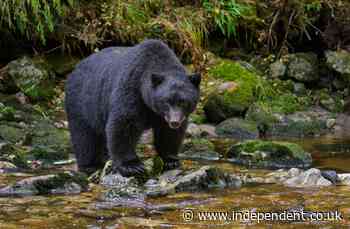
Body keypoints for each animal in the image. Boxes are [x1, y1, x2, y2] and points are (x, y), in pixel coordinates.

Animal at [64, 39, 201, 176]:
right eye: (166, 101)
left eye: (183, 102)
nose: (174, 121)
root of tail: (75, 69)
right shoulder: (132, 88)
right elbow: (124, 123)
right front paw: (131, 165)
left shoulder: (163, 115)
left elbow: (168, 133)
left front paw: (170, 160)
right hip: (82, 103)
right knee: (85, 136)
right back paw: (91, 165)